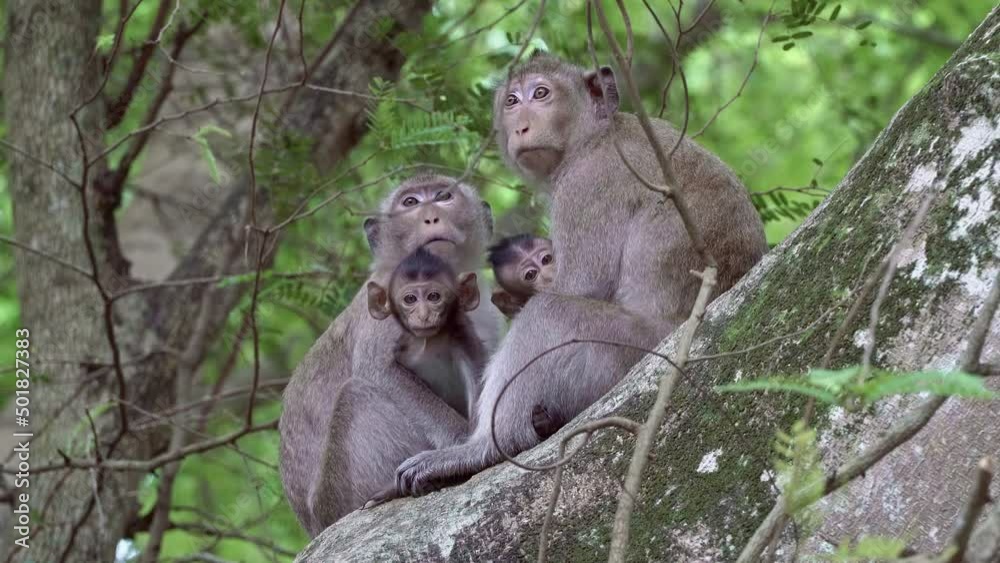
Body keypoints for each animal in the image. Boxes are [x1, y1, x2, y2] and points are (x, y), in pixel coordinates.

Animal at [279, 174, 503, 536]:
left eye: (443, 196)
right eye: (410, 203)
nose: (431, 216)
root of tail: (314, 525)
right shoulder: (384, 301)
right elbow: (378, 370)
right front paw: (461, 447)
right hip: (340, 493)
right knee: (357, 394)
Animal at [393, 53, 768, 496]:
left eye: (541, 93)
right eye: (512, 101)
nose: (521, 126)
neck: (595, 135)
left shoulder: (587, 184)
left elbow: (579, 287)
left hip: (628, 354)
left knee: (548, 314)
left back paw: (482, 449)